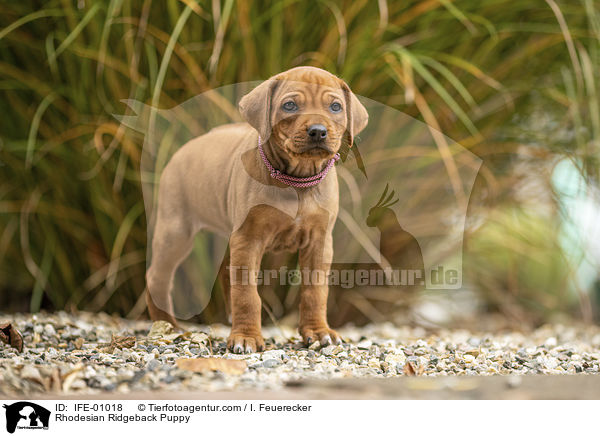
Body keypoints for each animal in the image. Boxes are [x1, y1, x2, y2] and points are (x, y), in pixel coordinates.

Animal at [146, 67, 366, 354]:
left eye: (336, 106)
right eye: (289, 105)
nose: (318, 131)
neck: (297, 182)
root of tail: (184, 149)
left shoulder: (319, 241)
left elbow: (315, 291)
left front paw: (318, 332)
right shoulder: (249, 238)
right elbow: (247, 293)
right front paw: (246, 337)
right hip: (176, 232)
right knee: (157, 276)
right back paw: (166, 325)